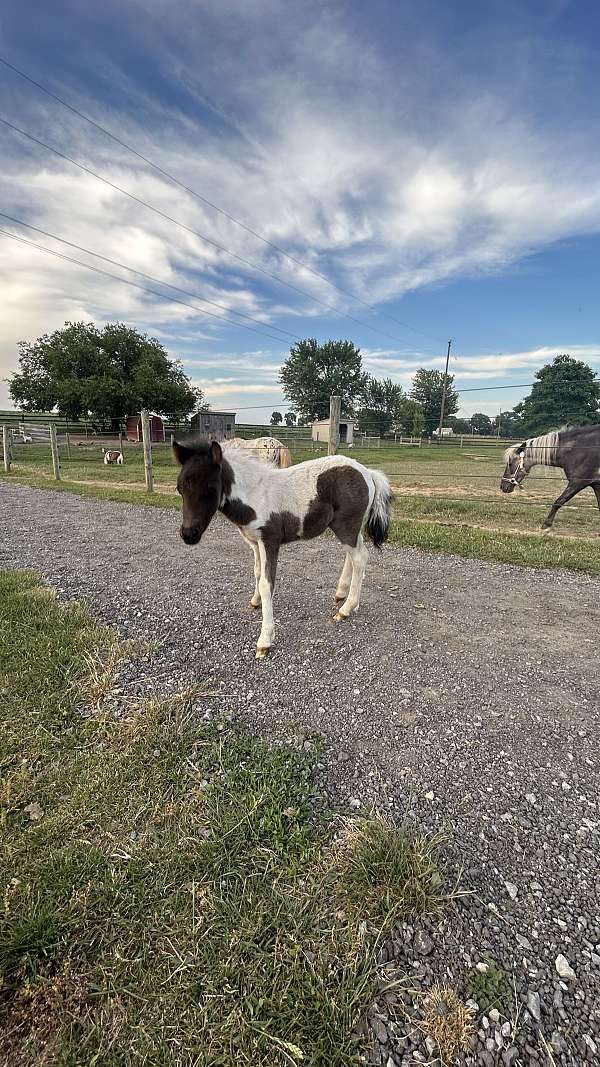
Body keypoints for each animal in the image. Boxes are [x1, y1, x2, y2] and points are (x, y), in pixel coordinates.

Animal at [171, 435, 392, 653]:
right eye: (179, 488)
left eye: (210, 488)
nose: (188, 534)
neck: (254, 495)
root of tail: (368, 473)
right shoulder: (254, 542)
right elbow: (257, 573)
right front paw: (255, 602)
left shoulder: (270, 541)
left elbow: (266, 583)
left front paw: (264, 640)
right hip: (350, 528)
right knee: (353, 556)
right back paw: (341, 595)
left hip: (346, 525)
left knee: (360, 557)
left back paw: (346, 609)